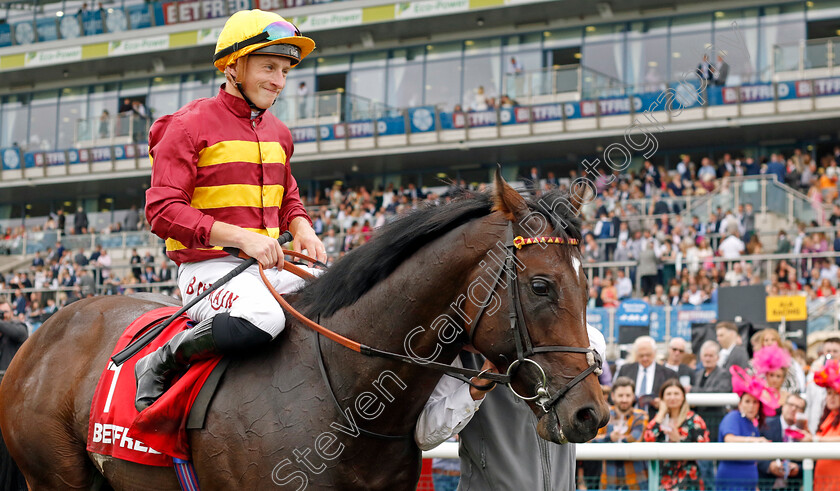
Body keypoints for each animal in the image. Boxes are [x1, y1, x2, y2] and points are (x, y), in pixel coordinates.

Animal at [0, 171, 608, 490]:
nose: (591, 413)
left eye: (588, 280)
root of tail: (40, 333)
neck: (342, 391)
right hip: (55, 476)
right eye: (541, 286)